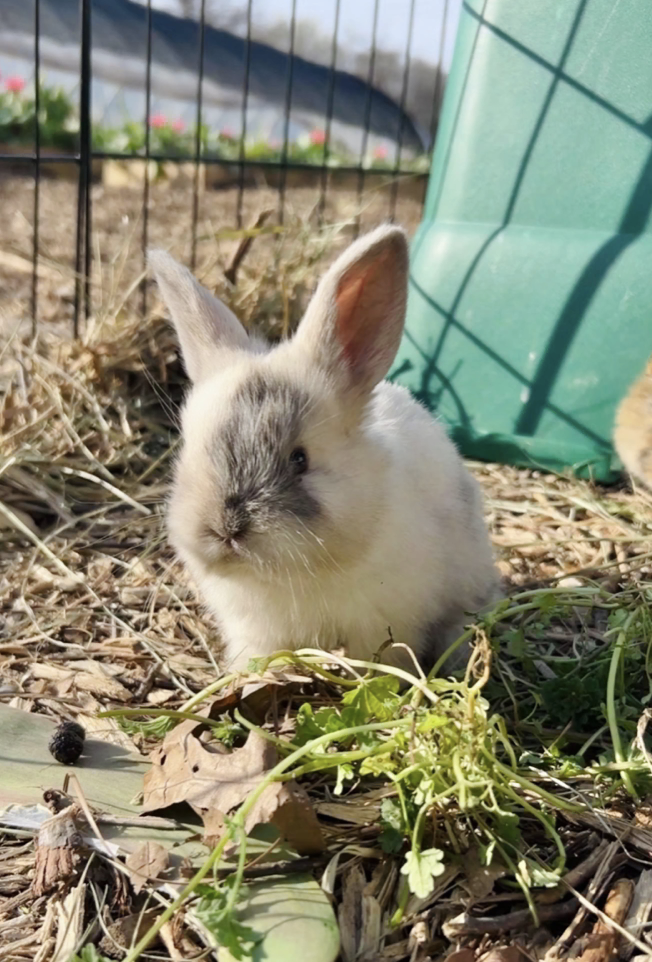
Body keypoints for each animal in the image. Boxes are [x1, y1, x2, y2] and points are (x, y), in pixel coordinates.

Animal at [149, 225, 499, 674]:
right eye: (189, 449)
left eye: (300, 459)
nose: (224, 530)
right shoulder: (255, 631)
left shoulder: (387, 623)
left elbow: (383, 660)